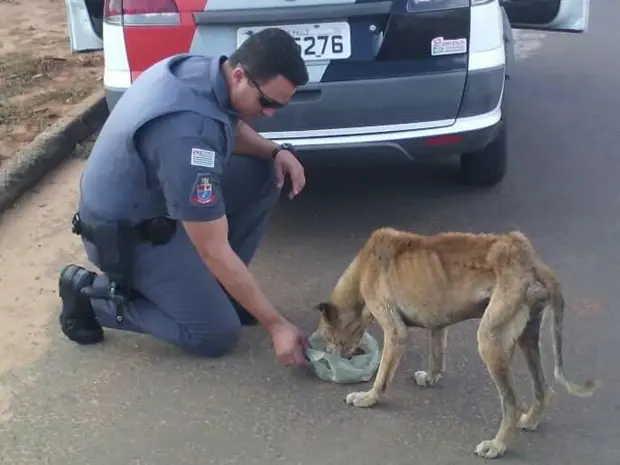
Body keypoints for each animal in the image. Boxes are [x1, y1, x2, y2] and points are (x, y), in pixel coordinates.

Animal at [314, 227, 600, 458]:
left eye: (328, 337)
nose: (333, 358)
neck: (364, 267)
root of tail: (528, 257)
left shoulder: (395, 333)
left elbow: (382, 377)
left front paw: (369, 398)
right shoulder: (438, 324)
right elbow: (436, 356)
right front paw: (430, 378)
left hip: (490, 341)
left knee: (511, 403)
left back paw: (498, 445)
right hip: (527, 337)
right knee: (543, 389)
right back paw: (531, 419)